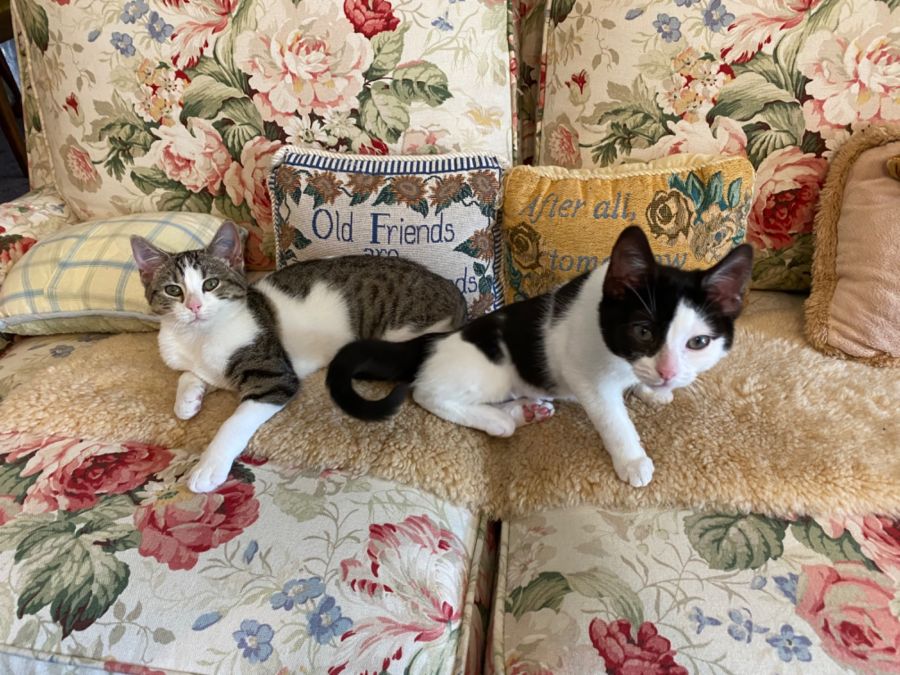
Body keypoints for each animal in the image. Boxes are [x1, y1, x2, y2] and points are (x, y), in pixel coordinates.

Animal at [131, 221, 467, 493]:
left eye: (210, 284)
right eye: (173, 290)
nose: (194, 306)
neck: (199, 339)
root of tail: (453, 291)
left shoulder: (275, 375)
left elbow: (235, 421)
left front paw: (209, 466)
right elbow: (191, 374)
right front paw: (187, 400)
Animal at [326, 226, 753, 488]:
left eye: (698, 342)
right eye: (643, 331)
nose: (667, 372)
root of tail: (436, 338)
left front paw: (652, 392)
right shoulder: (586, 374)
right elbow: (612, 418)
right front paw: (631, 459)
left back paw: (524, 411)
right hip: (490, 367)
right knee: (426, 393)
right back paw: (500, 421)